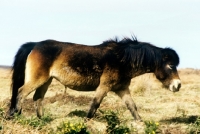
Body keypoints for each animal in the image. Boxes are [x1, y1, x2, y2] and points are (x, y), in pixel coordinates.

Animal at [6, 37, 181, 120]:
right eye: (171, 65)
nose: (177, 85)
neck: (122, 59)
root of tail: (34, 44)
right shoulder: (104, 87)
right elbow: (94, 106)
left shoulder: (122, 89)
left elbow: (133, 107)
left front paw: (141, 124)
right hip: (38, 79)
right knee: (21, 93)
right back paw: (15, 115)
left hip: (46, 81)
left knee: (37, 98)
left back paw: (42, 120)